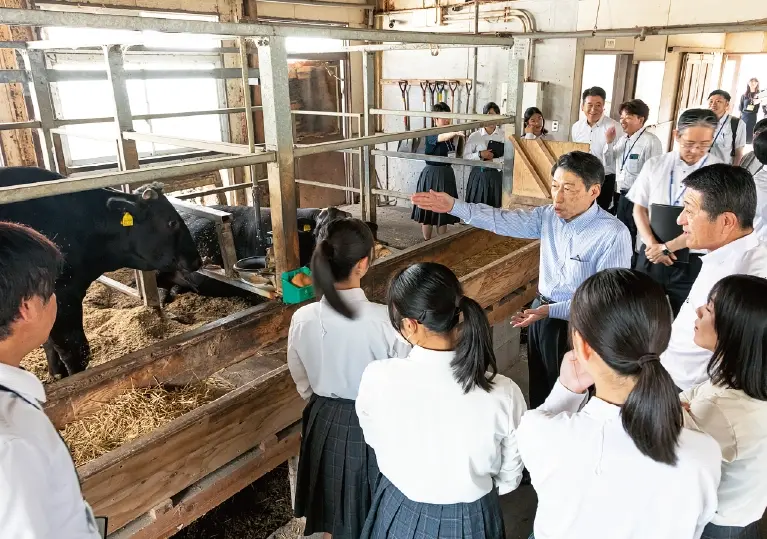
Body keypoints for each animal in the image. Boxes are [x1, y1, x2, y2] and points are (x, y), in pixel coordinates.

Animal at [0, 167, 202, 378]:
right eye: (171, 223)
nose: (197, 259)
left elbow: (49, 344)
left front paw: (57, 375)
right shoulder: (63, 295)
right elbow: (76, 350)